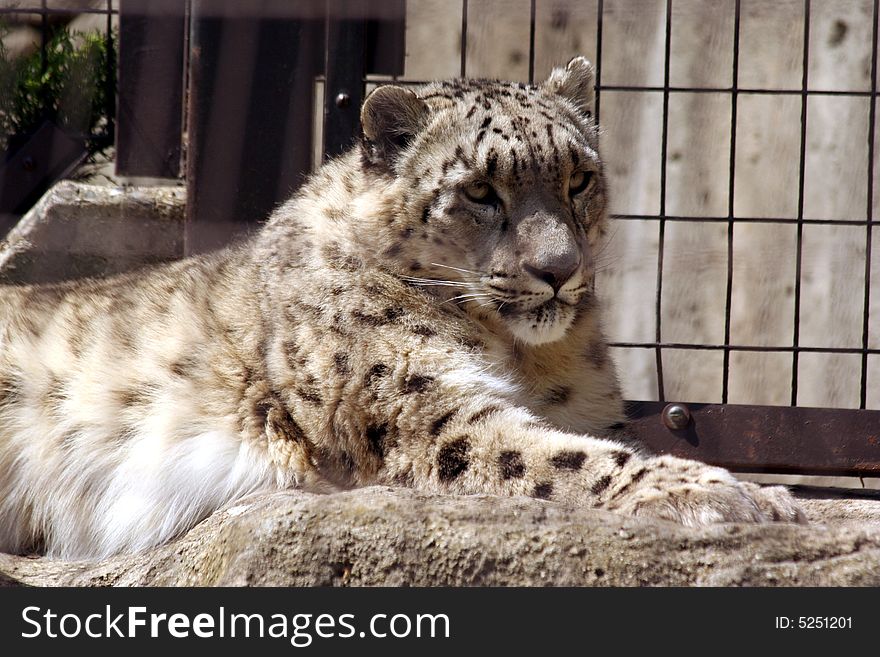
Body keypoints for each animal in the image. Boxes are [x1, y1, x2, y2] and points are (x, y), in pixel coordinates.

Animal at [0, 57, 804, 560]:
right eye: (480, 190)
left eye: (579, 178)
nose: (558, 271)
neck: (528, 355)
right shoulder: (427, 413)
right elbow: (562, 456)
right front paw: (729, 492)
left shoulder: (586, 409)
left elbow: (595, 443)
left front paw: (760, 492)